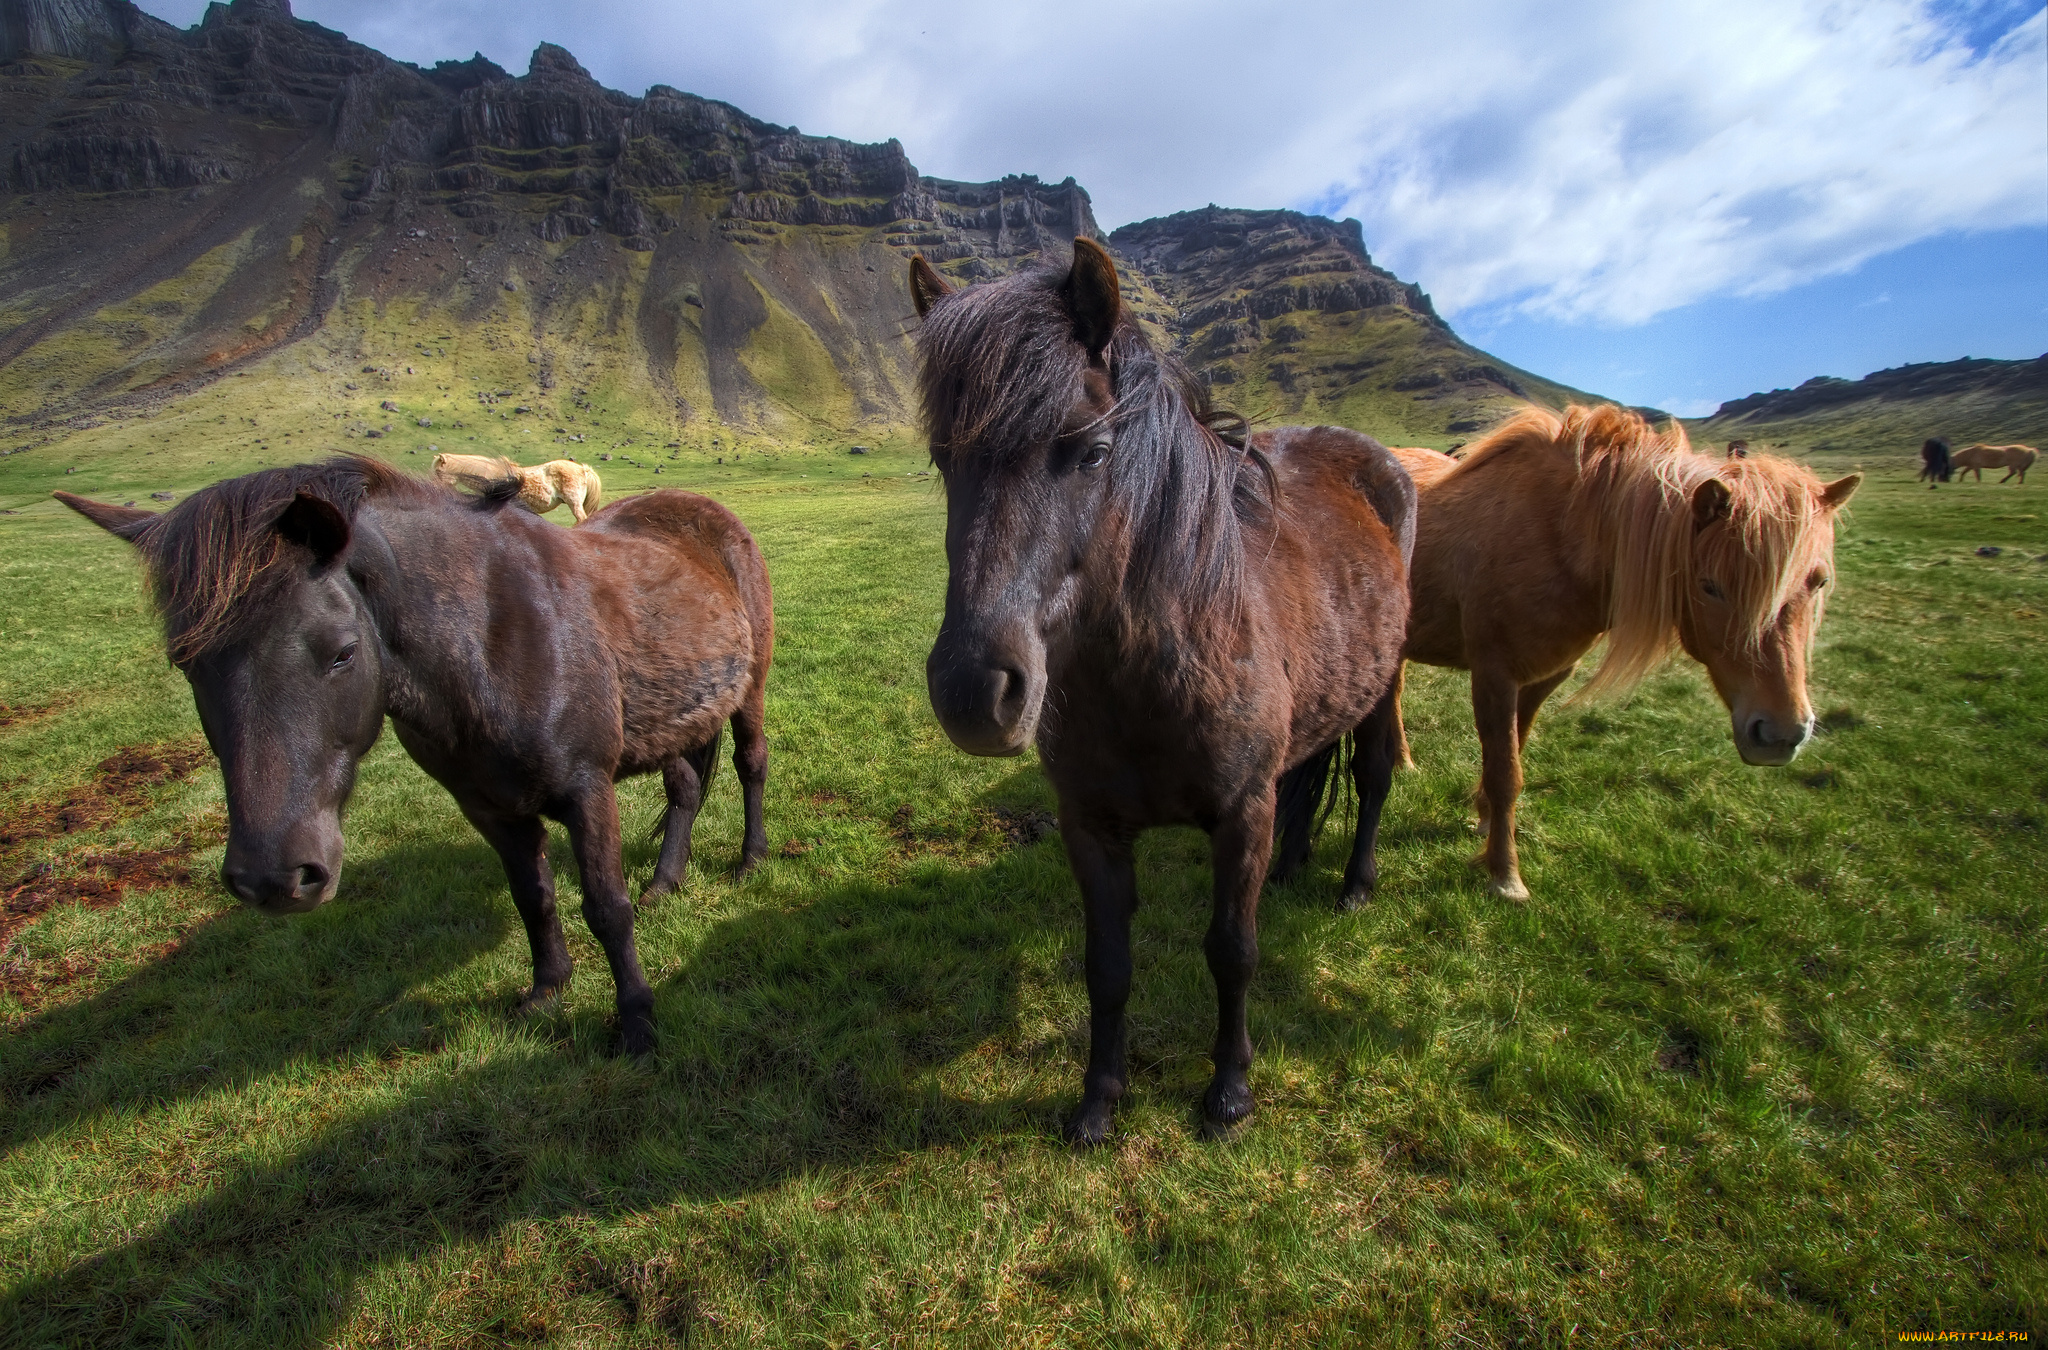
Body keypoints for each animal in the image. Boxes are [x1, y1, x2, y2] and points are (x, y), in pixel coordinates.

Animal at [910, 240, 1414, 1144]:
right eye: (943, 458)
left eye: (1091, 450)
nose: (974, 690)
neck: (1150, 676)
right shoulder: (1092, 828)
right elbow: (1107, 965)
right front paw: (1098, 1101)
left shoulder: (1240, 815)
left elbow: (1233, 951)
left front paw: (1229, 1093)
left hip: (1385, 683)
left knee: (1374, 773)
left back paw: (1355, 885)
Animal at [1381, 405, 1860, 901]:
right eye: (1710, 586)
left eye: (1819, 581)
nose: (1780, 734)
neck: (1559, 534)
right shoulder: (1494, 675)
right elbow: (1505, 773)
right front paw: (1505, 875)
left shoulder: (1543, 677)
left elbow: (1513, 755)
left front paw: (1484, 820)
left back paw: (1402, 762)